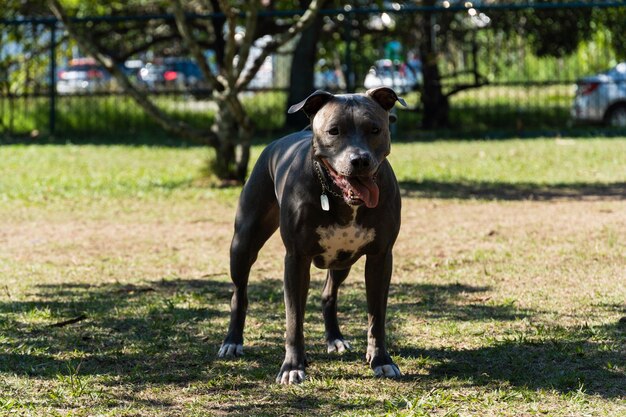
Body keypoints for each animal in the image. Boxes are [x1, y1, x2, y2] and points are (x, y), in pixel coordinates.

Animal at [218, 88, 404, 384]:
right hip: (243, 243)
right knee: (239, 292)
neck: (339, 197)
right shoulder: (296, 259)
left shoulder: (380, 258)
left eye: (375, 129)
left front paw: (381, 360)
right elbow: (294, 320)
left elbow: (377, 317)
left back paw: (335, 339)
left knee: (329, 294)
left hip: (342, 261)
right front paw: (292, 366)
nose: (360, 160)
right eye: (333, 131)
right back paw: (232, 342)